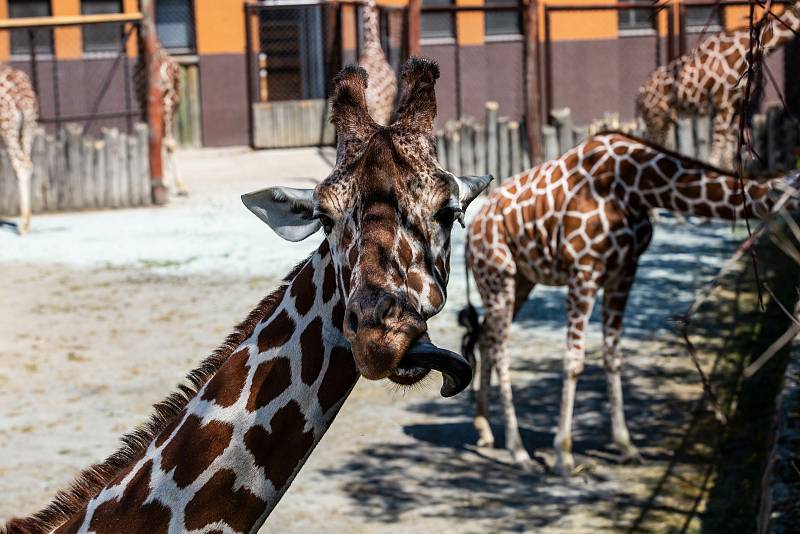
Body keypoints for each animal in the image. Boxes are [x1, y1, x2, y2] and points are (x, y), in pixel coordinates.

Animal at [460, 132, 800, 476]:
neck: (638, 186)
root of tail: (471, 233)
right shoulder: (584, 271)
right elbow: (574, 361)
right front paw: (563, 456)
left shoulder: (624, 272)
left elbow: (614, 357)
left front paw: (626, 446)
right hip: (499, 276)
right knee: (500, 348)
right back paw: (518, 451)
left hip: (520, 281)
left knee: (486, 336)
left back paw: (484, 429)